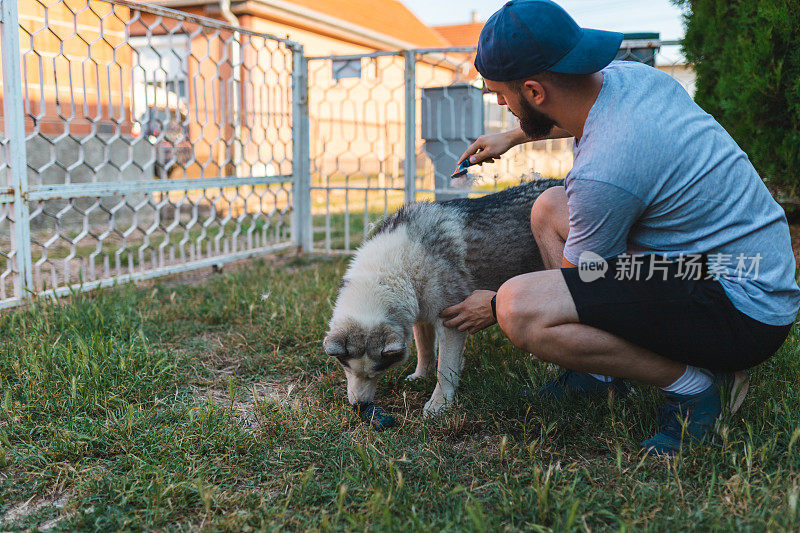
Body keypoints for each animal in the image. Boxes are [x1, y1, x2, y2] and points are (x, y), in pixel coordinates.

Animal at [322, 180, 560, 416]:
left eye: (378, 372)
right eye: (346, 368)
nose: (359, 406)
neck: (391, 271)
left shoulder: (451, 320)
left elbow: (445, 368)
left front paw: (440, 403)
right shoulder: (419, 313)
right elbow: (425, 350)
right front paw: (421, 376)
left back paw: (553, 367)